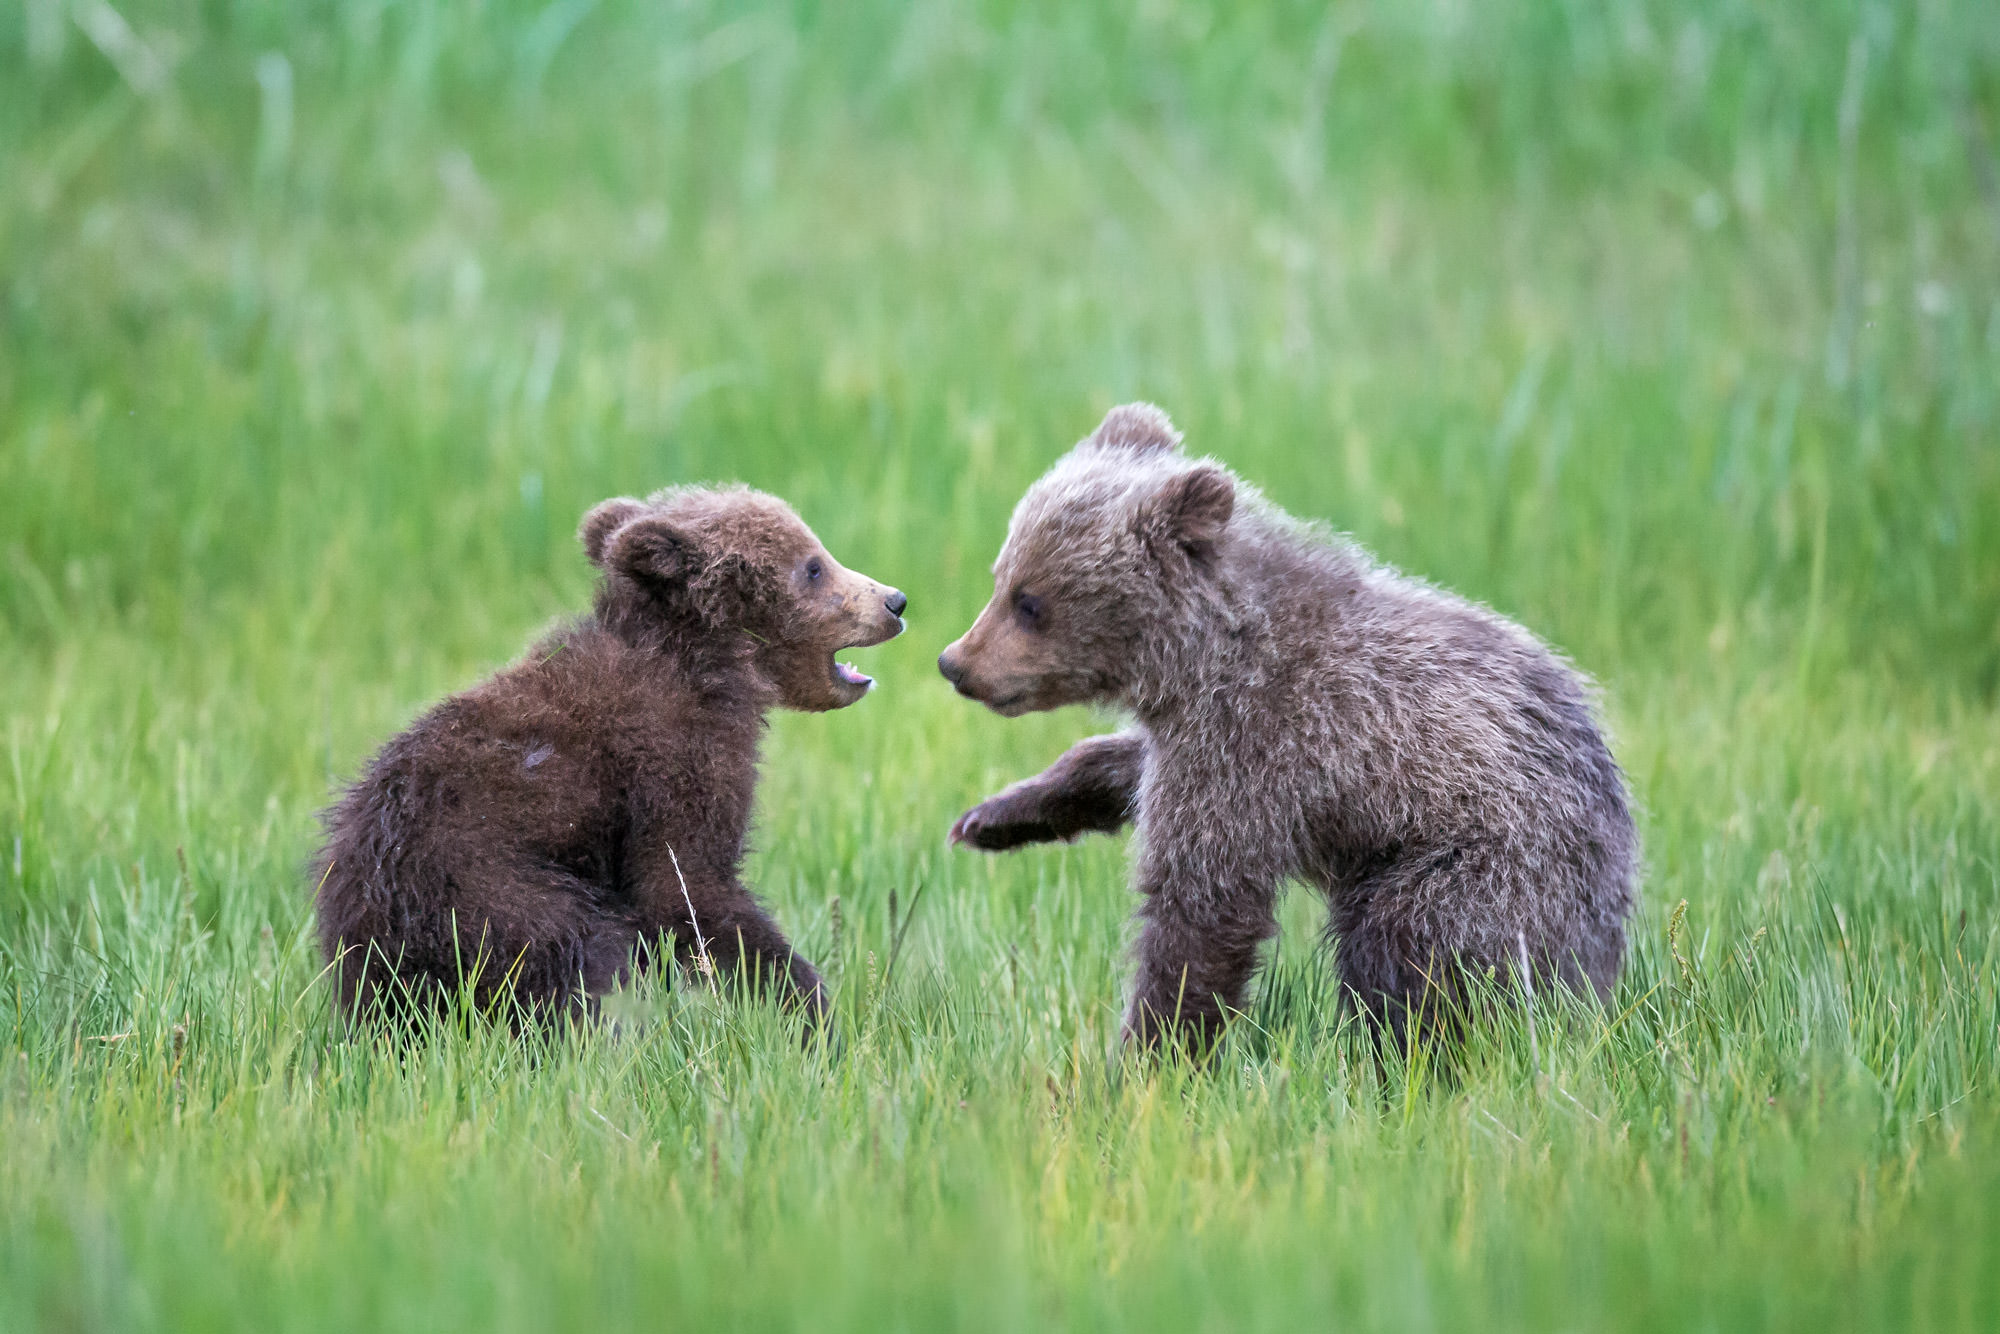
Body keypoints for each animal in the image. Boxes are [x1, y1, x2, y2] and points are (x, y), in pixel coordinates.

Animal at [314, 485, 907, 1027]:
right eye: (813, 566)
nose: (895, 601)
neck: (708, 665)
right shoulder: (673, 760)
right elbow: (685, 885)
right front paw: (808, 1008)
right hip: (487, 886)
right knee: (580, 957)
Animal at [938, 404, 1637, 1051]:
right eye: (1001, 576)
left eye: (1031, 602)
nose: (955, 663)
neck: (1204, 656)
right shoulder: (1197, 738)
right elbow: (1125, 768)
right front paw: (999, 815)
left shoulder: (1258, 744)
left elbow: (1202, 910)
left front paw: (1149, 1058)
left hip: (1487, 869)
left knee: (1407, 959)